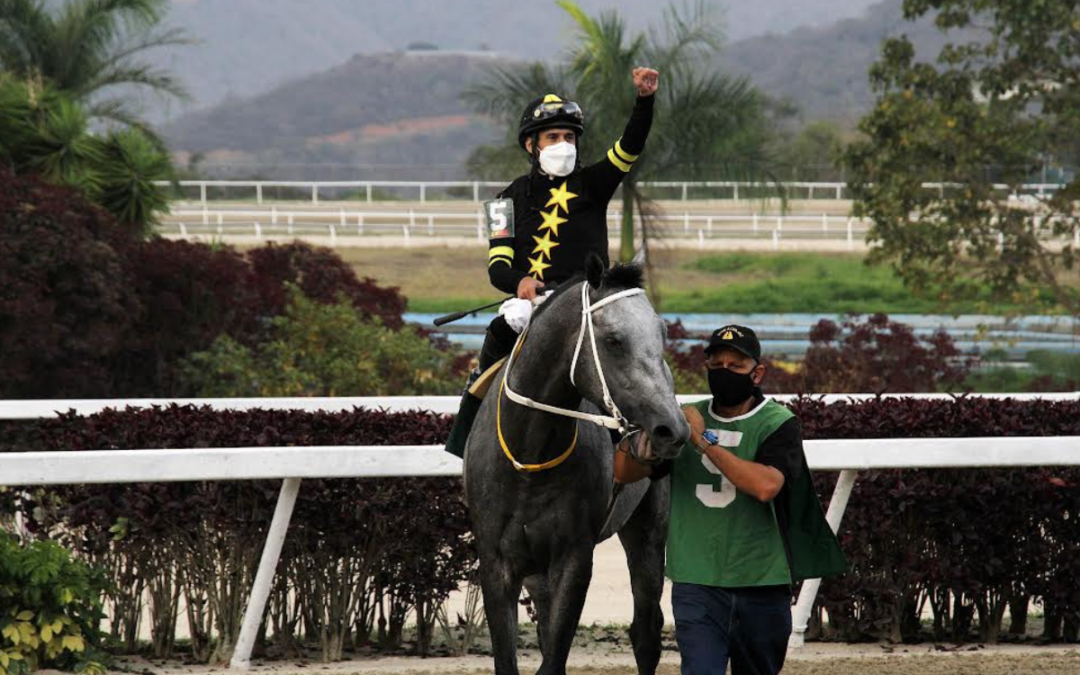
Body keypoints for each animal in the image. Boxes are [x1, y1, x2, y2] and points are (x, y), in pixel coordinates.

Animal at [466, 252, 691, 673]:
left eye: (662, 335)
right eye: (614, 340)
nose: (673, 430)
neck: (528, 457)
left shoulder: (574, 557)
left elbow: (554, 659)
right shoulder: (497, 561)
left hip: (648, 532)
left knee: (646, 631)